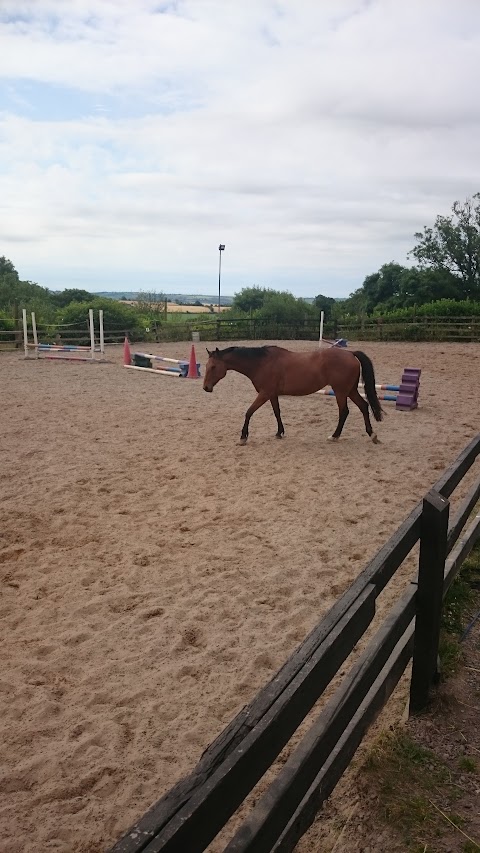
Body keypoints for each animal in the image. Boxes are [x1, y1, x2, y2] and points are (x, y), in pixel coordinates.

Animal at [202, 344, 382, 446]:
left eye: (213, 367)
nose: (206, 388)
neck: (261, 363)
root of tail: (350, 353)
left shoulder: (264, 394)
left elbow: (248, 412)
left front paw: (243, 437)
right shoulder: (272, 394)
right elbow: (277, 412)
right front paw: (279, 432)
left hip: (340, 392)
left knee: (344, 412)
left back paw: (334, 436)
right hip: (350, 391)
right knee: (364, 406)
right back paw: (372, 434)